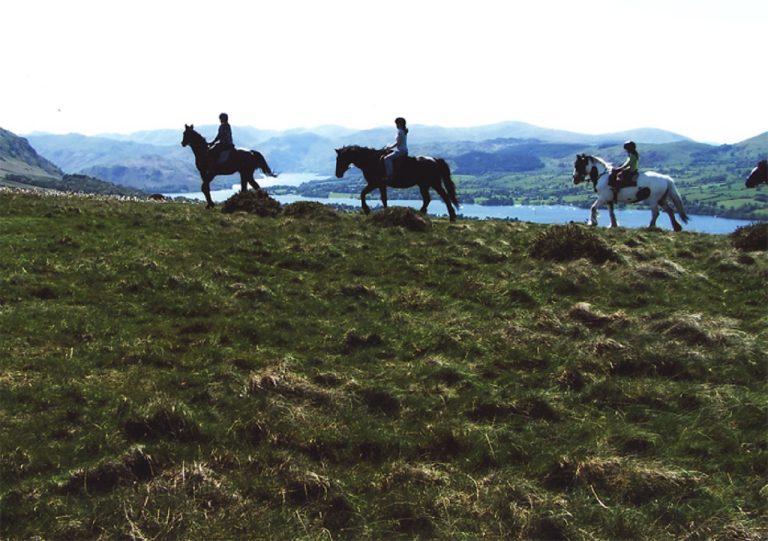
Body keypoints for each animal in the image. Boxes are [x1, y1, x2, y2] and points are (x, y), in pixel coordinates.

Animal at [332, 146, 460, 221]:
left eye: (341, 158)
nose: (338, 174)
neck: (371, 161)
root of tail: (435, 160)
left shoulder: (375, 183)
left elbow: (363, 193)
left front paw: (367, 210)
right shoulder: (381, 185)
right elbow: (383, 198)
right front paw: (385, 212)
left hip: (434, 183)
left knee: (444, 197)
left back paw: (451, 216)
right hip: (424, 185)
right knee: (428, 199)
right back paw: (421, 213)